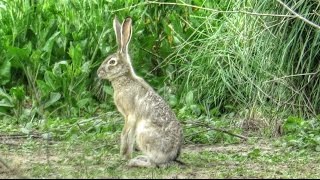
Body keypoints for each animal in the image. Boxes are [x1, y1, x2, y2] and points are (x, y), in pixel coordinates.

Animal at [97, 16, 182, 167]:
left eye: (112, 62)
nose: (98, 73)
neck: (124, 78)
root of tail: (171, 156)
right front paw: (125, 155)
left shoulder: (130, 115)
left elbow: (125, 134)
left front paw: (124, 155)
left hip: (143, 135)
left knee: (154, 163)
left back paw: (136, 162)